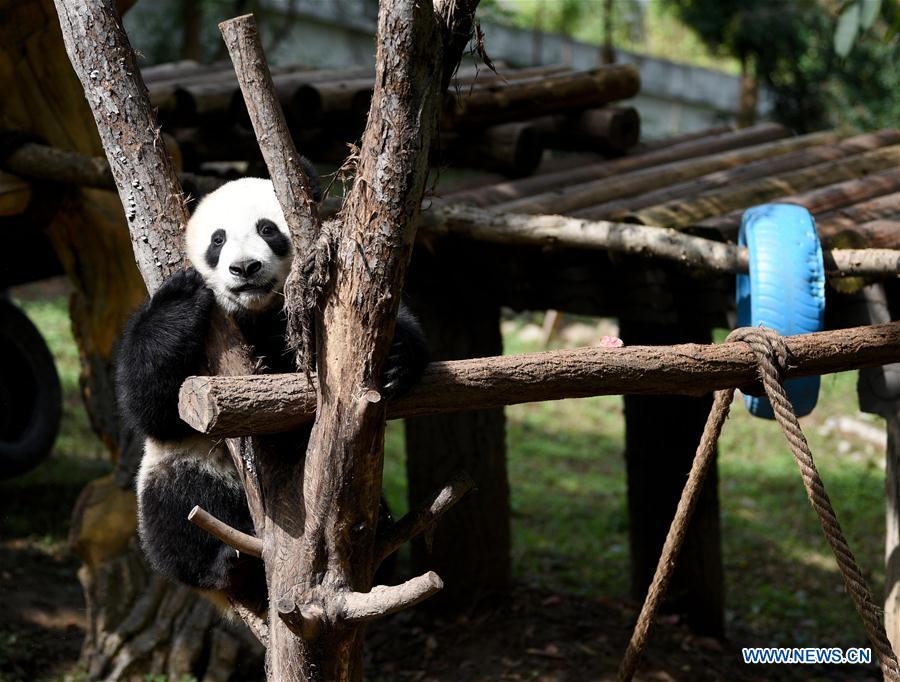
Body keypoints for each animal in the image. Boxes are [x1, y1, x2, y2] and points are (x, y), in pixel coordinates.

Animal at [116, 175, 428, 612]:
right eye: (217, 239)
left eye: (267, 229)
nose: (245, 267)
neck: (257, 313)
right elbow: (150, 406)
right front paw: (181, 298)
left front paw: (397, 359)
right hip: (185, 474)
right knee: (174, 507)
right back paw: (224, 563)